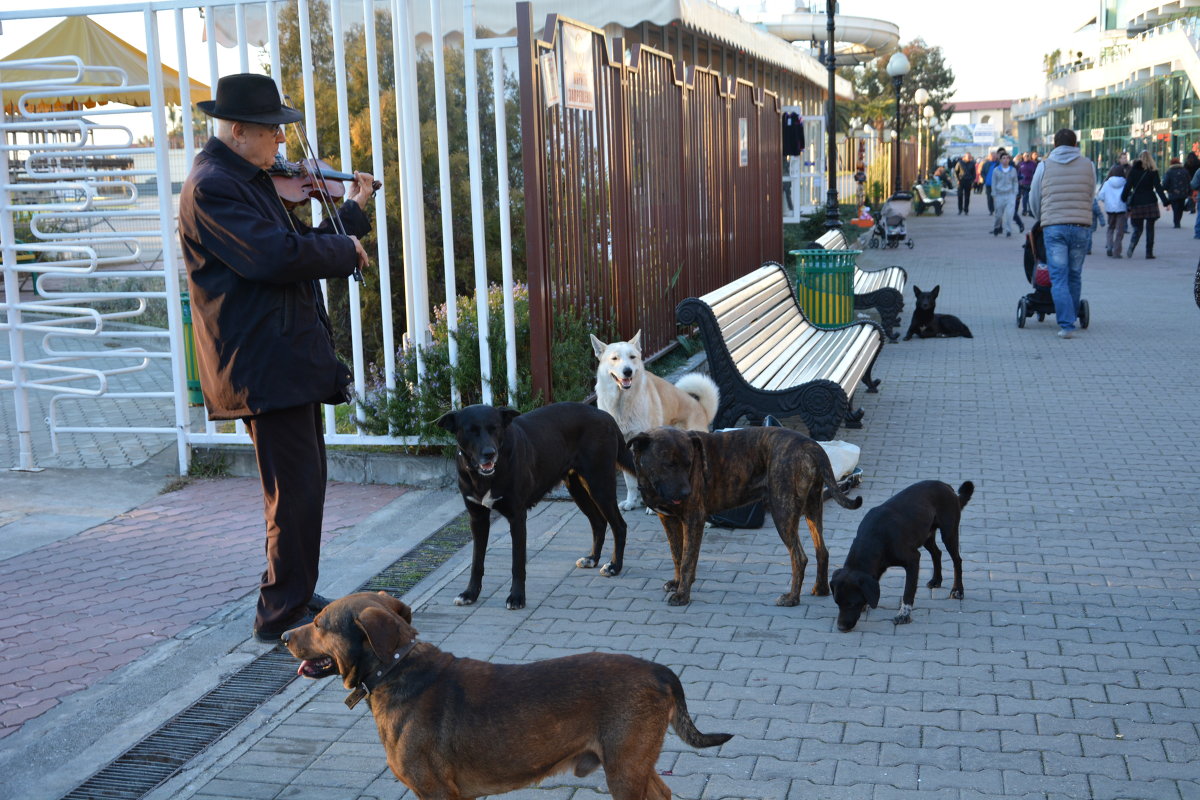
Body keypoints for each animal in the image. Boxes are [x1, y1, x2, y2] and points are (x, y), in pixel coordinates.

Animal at [282, 592, 729, 796]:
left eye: (319, 623)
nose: (284, 635)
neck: (395, 668)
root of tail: (659, 671)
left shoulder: (436, 792)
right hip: (634, 765)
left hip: (624, 769)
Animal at [434, 402, 638, 609]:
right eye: (471, 430)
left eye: (495, 428)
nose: (489, 453)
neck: (485, 477)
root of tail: (605, 415)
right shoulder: (477, 518)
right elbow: (477, 562)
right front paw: (470, 593)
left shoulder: (517, 517)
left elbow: (517, 563)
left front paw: (516, 597)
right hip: (577, 487)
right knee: (598, 522)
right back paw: (592, 559)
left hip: (600, 484)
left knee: (619, 525)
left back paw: (614, 566)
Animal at [592, 331, 715, 506]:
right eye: (615, 358)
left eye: (632, 357)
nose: (627, 371)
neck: (621, 403)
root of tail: (702, 409)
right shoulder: (624, 447)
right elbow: (630, 481)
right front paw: (631, 502)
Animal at [628, 424, 864, 606]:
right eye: (668, 464)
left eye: (689, 464)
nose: (686, 493)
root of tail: (811, 445)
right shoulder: (669, 519)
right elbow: (677, 554)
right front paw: (677, 584)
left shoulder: (693, 518)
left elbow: (687, 559)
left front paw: (682, 595)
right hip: (813, 506)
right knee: (821, 550)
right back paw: (821, 588)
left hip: (783, 511)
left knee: (799, 556)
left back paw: (792, 598)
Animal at [835, 482, 974, 633]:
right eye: (836, 602)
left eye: (852, 604)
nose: (841, 627)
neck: (874, 538)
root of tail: (947, 486)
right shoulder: (878, 567)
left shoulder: (913, 559)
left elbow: (908, 591)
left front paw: (903, 615)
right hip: (925, 534)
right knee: (937, 553)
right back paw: (936, 580)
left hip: (949, 533)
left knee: (957, 560)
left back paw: (958, 590)